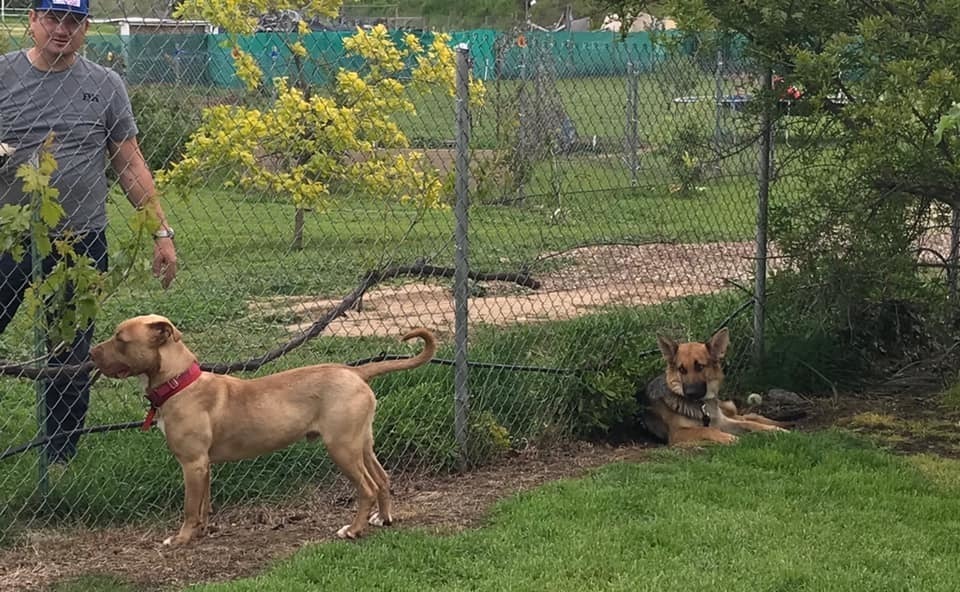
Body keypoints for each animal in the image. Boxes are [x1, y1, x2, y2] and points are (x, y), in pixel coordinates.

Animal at [90, 314, 436, 544]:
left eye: (120, 339)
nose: (91, 352)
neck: (179, 382)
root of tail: (355, 372)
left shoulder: (192, 463)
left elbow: (189, 507)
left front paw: (181, 539)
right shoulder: (204, 466)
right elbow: (203, 505)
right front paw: (201, 532)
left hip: (342, 448)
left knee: (367, 487)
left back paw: (353, 530)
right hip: (361, 442)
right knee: (382, 478)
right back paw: (384, 518)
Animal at [636, 326, 788, 446]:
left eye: (700, 367)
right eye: (681, 369)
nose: (690, 393)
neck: (701, 406)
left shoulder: (722, 422)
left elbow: (747, 424)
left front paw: (774, 430)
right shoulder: (677, 434)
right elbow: (706, 429)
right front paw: (729, 438)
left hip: (726, 410)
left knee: (747, 416)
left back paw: (778, 425)